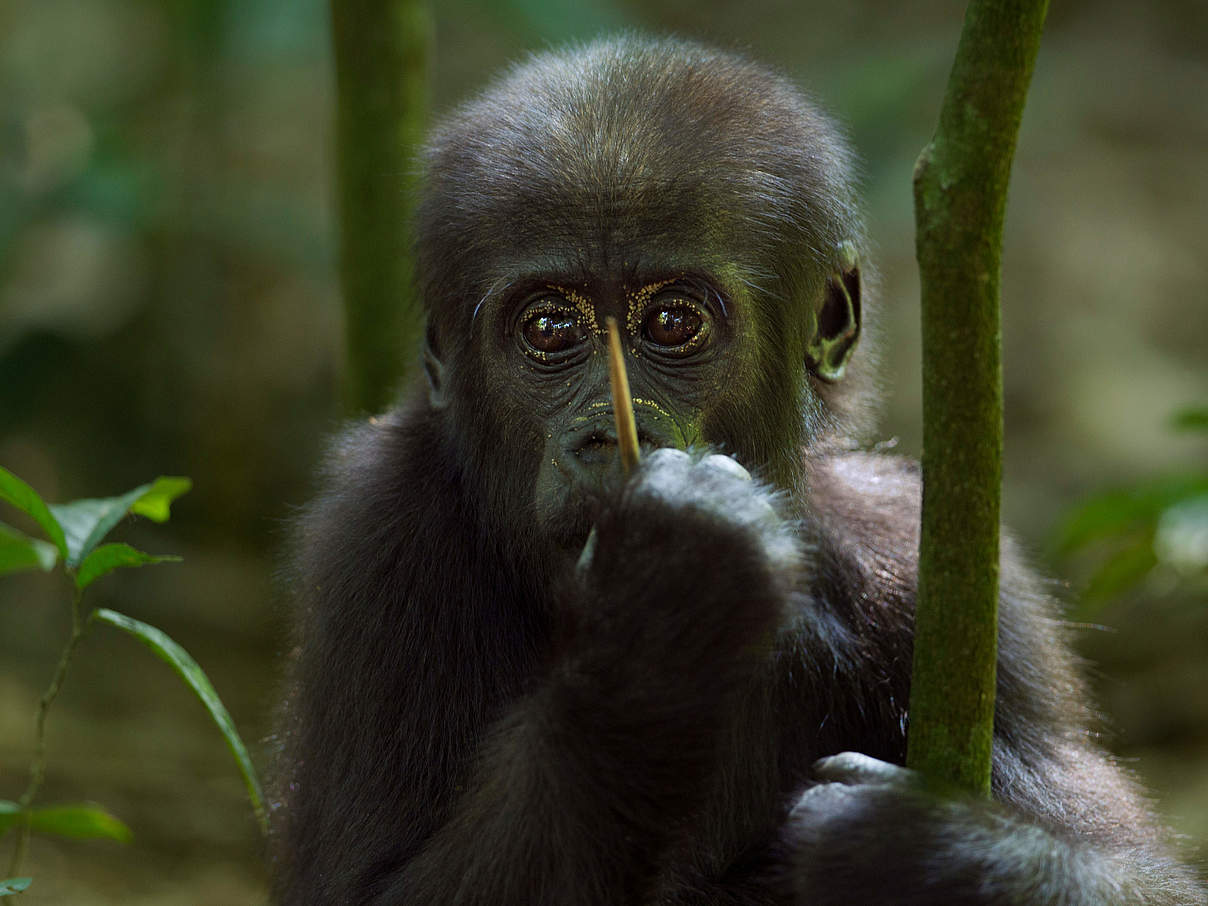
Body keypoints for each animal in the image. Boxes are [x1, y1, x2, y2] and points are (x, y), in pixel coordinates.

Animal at [274, 35, 1208, 906]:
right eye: (548, 329)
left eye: (673, 321)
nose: (610, 440)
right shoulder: (376, 537)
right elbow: (369, 886)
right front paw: (664, 617)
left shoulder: (943, 579)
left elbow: (1144, 871)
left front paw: (922, 849)